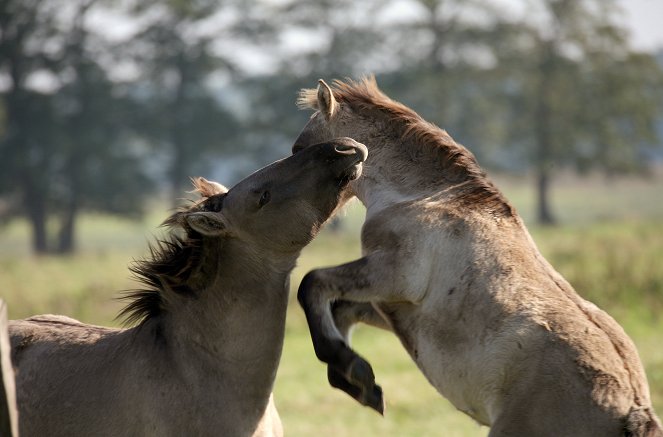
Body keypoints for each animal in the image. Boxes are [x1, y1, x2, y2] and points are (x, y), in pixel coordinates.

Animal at [296, 76, 663, 434]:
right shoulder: (389, 303)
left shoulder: (393, 277)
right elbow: (340, 308)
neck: (421, 197)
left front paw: (349, 366)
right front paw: (359, 381)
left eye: (301, 150)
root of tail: (632, 412)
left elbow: (311, 284)